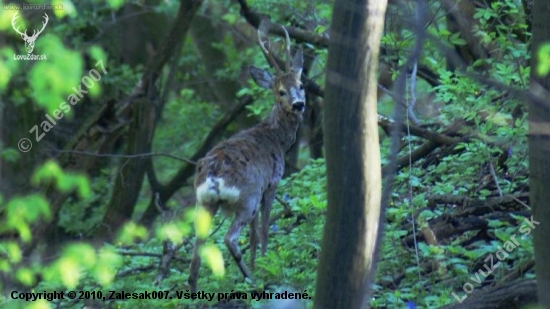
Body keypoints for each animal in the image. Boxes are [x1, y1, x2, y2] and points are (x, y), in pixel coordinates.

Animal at [188, 25, 304, 292]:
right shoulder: (271, 183)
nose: (299, 104)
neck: (276, 139)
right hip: (246, 197)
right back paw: (250, 280)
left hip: (204, 203)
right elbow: (263, 228)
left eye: (301, 84)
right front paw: (265, 263)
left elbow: (253, 234)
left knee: (197, 250)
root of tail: (213, 175)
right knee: (229, 238)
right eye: (281, 91)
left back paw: (195, 289)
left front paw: (258, 263)